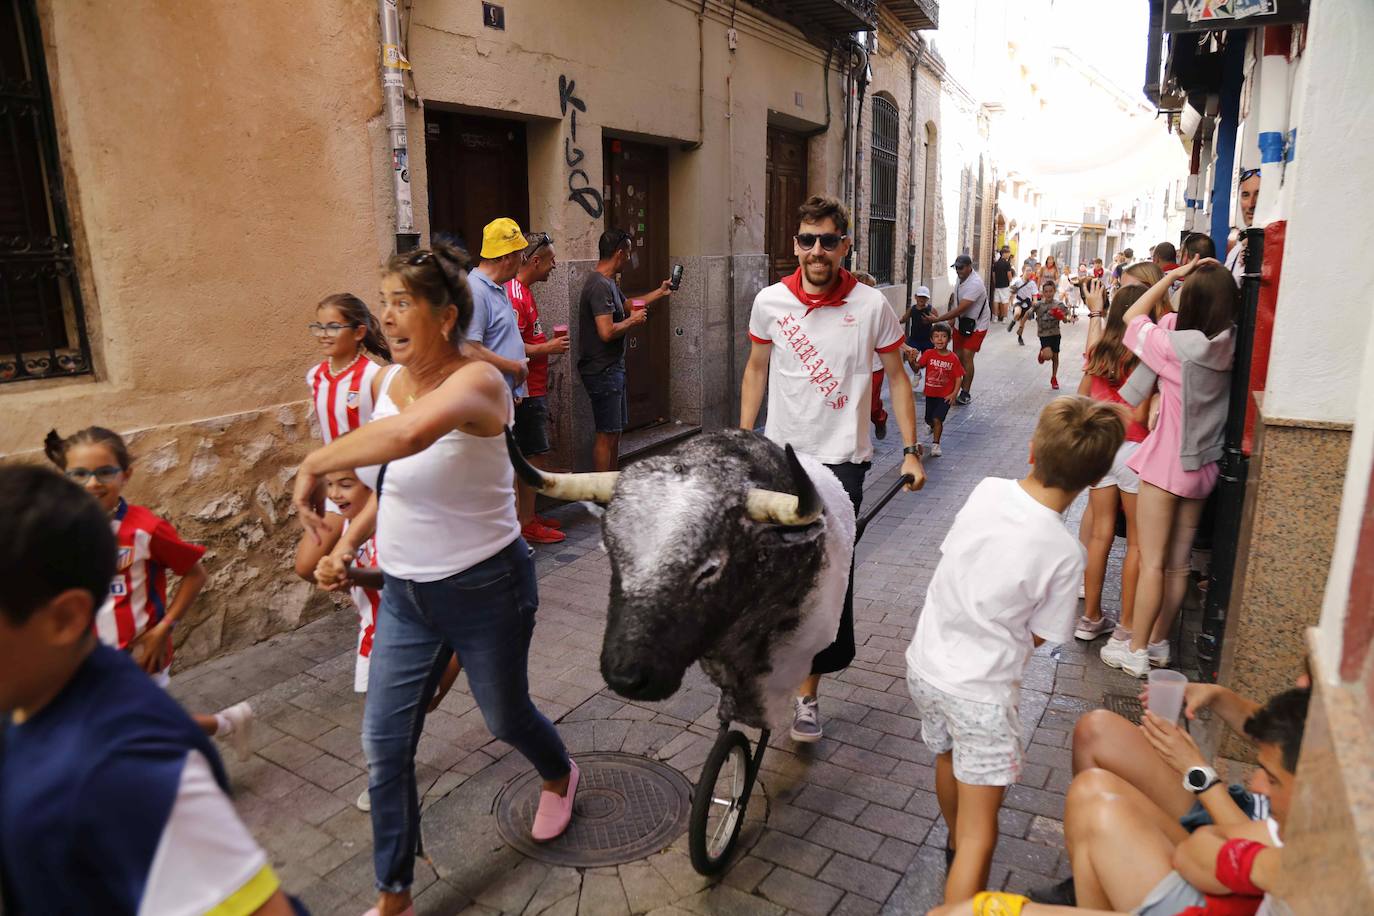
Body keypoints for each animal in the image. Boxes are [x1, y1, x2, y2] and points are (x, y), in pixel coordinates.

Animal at [511, 431, 906, 873]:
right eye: (610, 552)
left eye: (710, 568)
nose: (625, 676)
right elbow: (728, 735)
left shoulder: (776, 667)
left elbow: (751, 749)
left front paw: (735, 802)